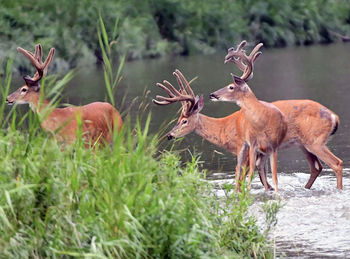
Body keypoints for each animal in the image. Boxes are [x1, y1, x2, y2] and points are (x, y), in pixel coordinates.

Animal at [211, 41, 342, 191]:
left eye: (231, 87)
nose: (212, 94)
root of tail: (334, 117)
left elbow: (246, 172)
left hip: (315, 141)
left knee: (336, 163)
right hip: (304, 144)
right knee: (317, 167)